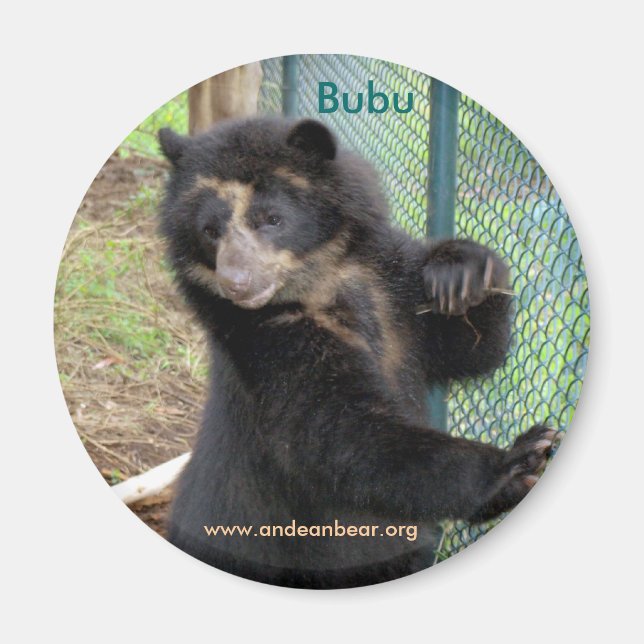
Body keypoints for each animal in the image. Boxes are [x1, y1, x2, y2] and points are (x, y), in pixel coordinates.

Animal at [157, 117, 556, 589]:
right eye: (209, 230)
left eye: (271, 219)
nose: (236, 283)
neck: (319, 283)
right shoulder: (268, 340)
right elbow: (342, 433)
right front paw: (520, 461)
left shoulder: (391, 287)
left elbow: (469, 349)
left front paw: (461, 272)